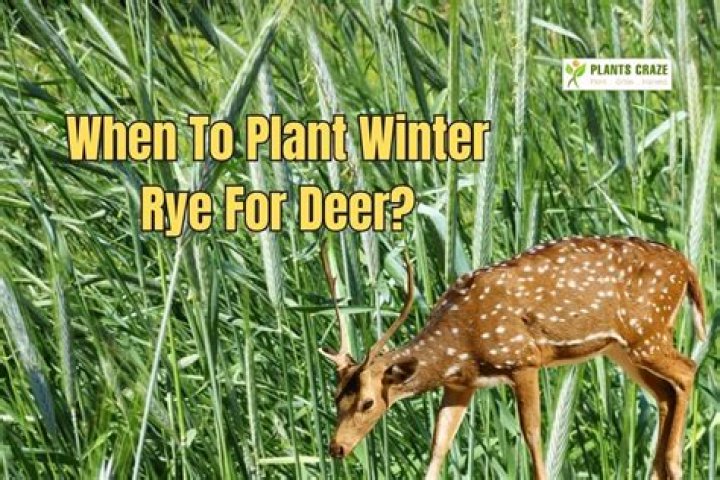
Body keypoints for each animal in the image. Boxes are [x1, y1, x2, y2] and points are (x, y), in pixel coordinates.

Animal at [319, 236, 707, 480]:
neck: (461, 341)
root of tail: (687, 266)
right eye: (336, 397)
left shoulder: (523, 359)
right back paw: (659, 470)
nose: (336, 448)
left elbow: (533, 434)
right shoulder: (461, 384)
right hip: (622, 348)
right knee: (665, 393)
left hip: (647, 334)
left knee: (687, 370)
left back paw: (673, 464)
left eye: (368, 402)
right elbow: (439, 444)